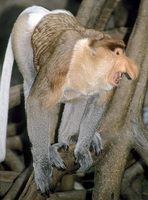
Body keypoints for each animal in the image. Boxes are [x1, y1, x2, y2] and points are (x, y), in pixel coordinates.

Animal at [0, 5, 139, 196]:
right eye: (117, 54)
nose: (125, 65)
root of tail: (43, 12)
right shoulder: (61, 63)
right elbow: (37, 101)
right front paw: (43, 168)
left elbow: (98, 102)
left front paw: (81, 149)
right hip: (21, 38)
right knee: (30, 81)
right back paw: (52, 148)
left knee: (79, 98)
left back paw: (70, 138)